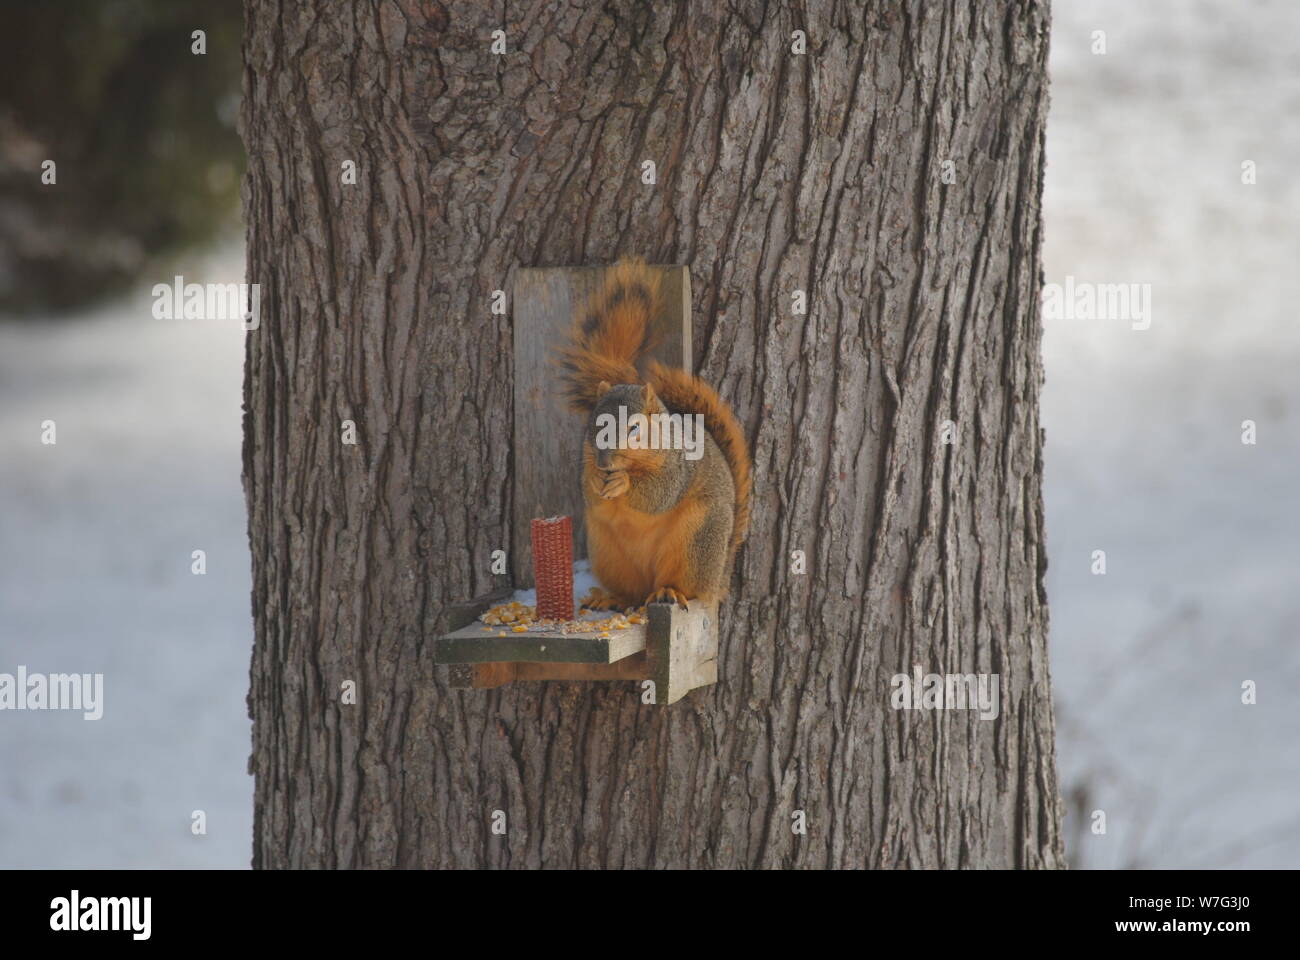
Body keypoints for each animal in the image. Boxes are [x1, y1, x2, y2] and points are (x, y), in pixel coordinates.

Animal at [558, 259, 752, 611]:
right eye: (593, 423)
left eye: (635, 428)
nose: (605, 464)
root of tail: (718, 582)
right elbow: (589, 494)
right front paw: (596, 479)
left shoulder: (678, 466)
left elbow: (659, 494)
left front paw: (623, 482)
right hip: (608, 554)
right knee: (632, 592)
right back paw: (611, 598)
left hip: (695, 543)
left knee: (684, 585)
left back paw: (668, 592)